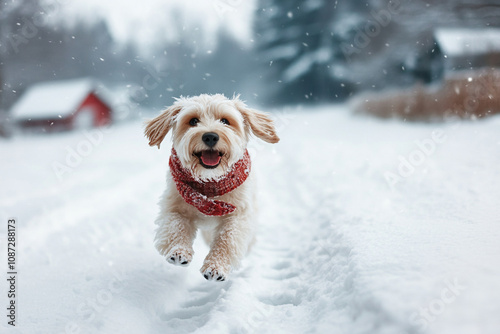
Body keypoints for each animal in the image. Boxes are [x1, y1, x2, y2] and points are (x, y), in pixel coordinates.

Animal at [143, 94, 280, 282]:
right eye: (193, 121)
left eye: (225, 120)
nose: (210, 136)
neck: (210, 183)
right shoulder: (174, 206)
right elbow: (175, 226)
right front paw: (178, 252)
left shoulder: (239, 215)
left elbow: (228, 240)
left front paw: (216, 267)